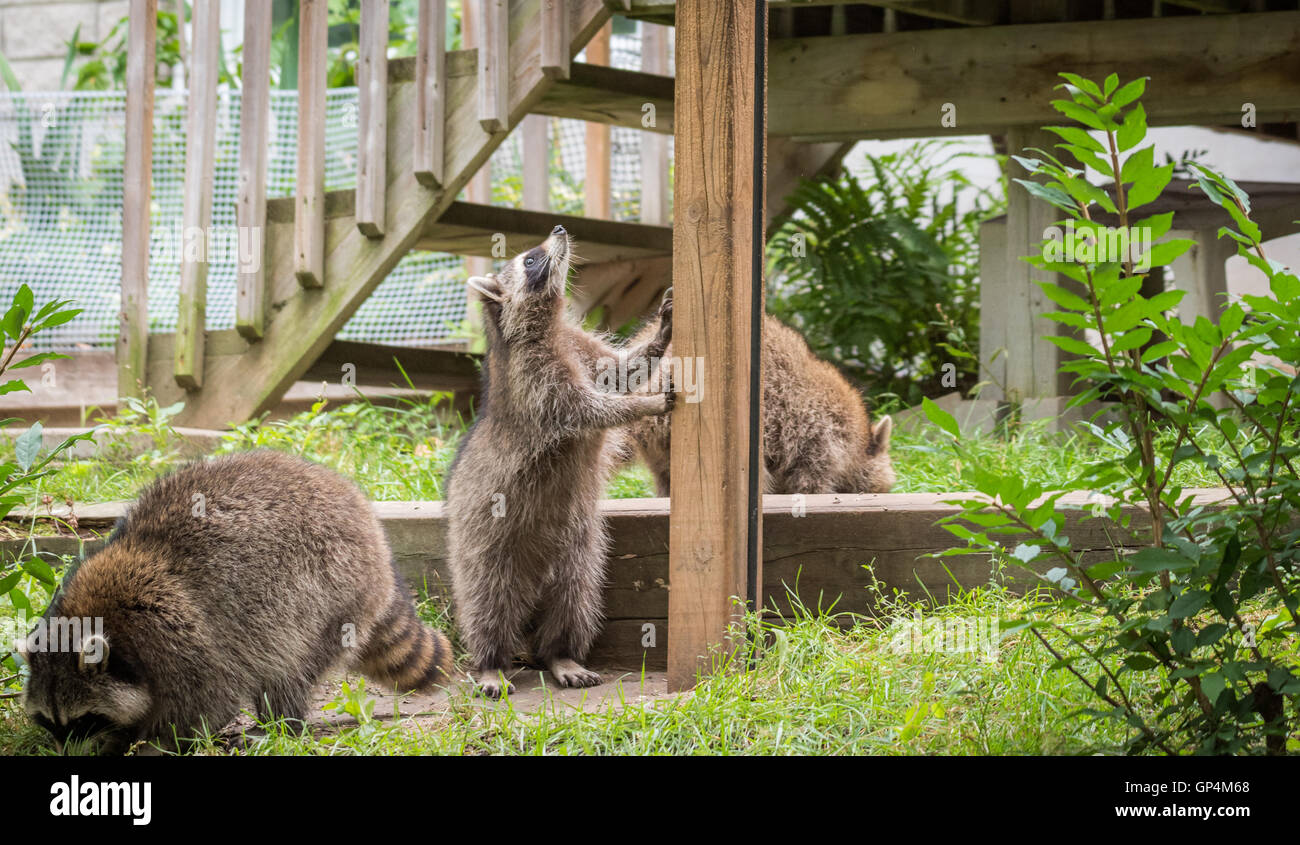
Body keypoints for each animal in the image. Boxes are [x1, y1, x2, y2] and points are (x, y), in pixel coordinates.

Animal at [19, 449, 457, 754]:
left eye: (84, 721)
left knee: (289, 665)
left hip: (329, 587)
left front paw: (150, 743)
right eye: (50, 722)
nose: (64, 753)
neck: (93, 617)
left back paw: (279, 725)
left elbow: (206, 703)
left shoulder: (177, 635)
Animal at [444, 224, 670, 696]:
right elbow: (591, 410)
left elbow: (623, 372)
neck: (546, 324)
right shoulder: (536, 380)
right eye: (530, 259)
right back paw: (490, 660)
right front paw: (644, 405)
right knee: (486, 599)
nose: (560, 229)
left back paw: (560, 654)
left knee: (575, 597)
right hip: (481, 539)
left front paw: (660, 336)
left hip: (581, 547)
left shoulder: (578, 346)